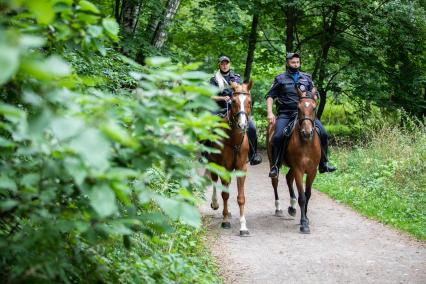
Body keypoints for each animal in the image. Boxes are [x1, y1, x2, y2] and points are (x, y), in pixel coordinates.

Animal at [207, 80, 253, 237]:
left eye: (249, 101)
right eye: (233, 101)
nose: (242, 124)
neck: (233, 140)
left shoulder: (241, 169)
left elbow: (241, 198)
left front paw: (243, 227)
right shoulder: (224, 168)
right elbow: (225, 194)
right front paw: (225, 221)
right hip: (213, 163)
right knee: (215, 181)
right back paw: (215, 204)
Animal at [266, 86, 320, 233]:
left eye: (314, 107)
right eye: (299, 108)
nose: (307, 132)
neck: (306, 144)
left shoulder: (312, 171)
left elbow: (307, 194)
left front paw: (305, 218)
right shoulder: (299, 170)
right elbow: (302, 197)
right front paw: (304, 223)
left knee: (288, 178)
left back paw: (292, 207)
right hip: (274, 163)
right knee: (275, 182)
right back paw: (278, 208)